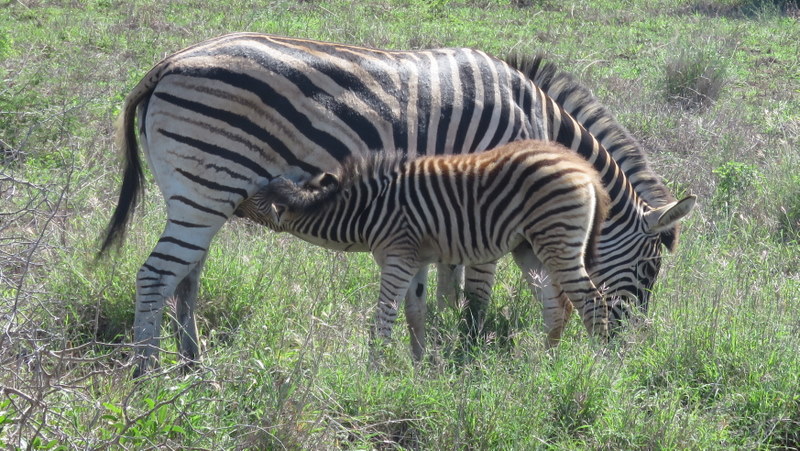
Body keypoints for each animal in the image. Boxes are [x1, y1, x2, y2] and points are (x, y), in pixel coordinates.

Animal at [235, 139, 612, 360]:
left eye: (250, 196)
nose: (231, 203)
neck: (365, 210)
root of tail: (584, 168)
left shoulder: (397, 257)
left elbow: (384, 314)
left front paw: (375, 369)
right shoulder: (414, 260)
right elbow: (414, 313)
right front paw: (419, 366)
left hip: (556, 240)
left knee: (591, 301)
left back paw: (599, 365)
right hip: (529, 248)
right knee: (557, 306)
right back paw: (544, 365)